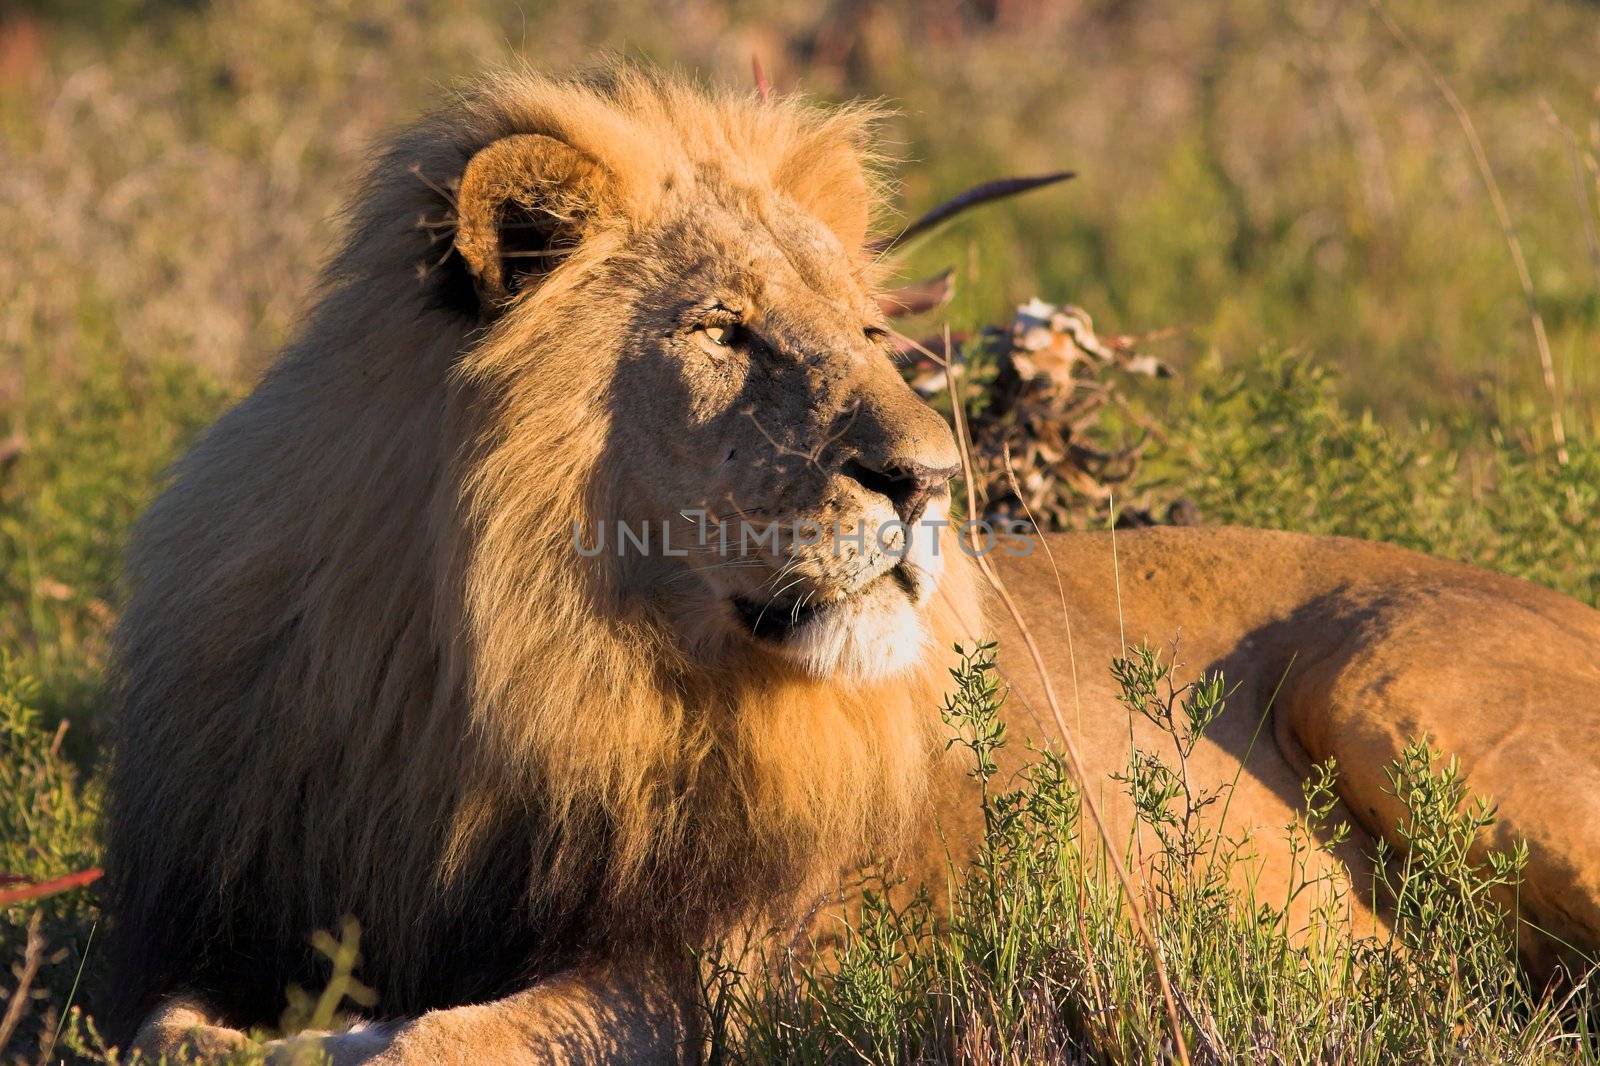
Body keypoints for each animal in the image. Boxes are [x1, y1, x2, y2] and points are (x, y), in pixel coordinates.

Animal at [106, 68, 1600, 1062]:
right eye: (725, 331)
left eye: (874, 333)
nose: (930, 481)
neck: (524, 674)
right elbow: (175, 1025)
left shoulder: (740, 968)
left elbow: (442, 1041)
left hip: (1411, 689)